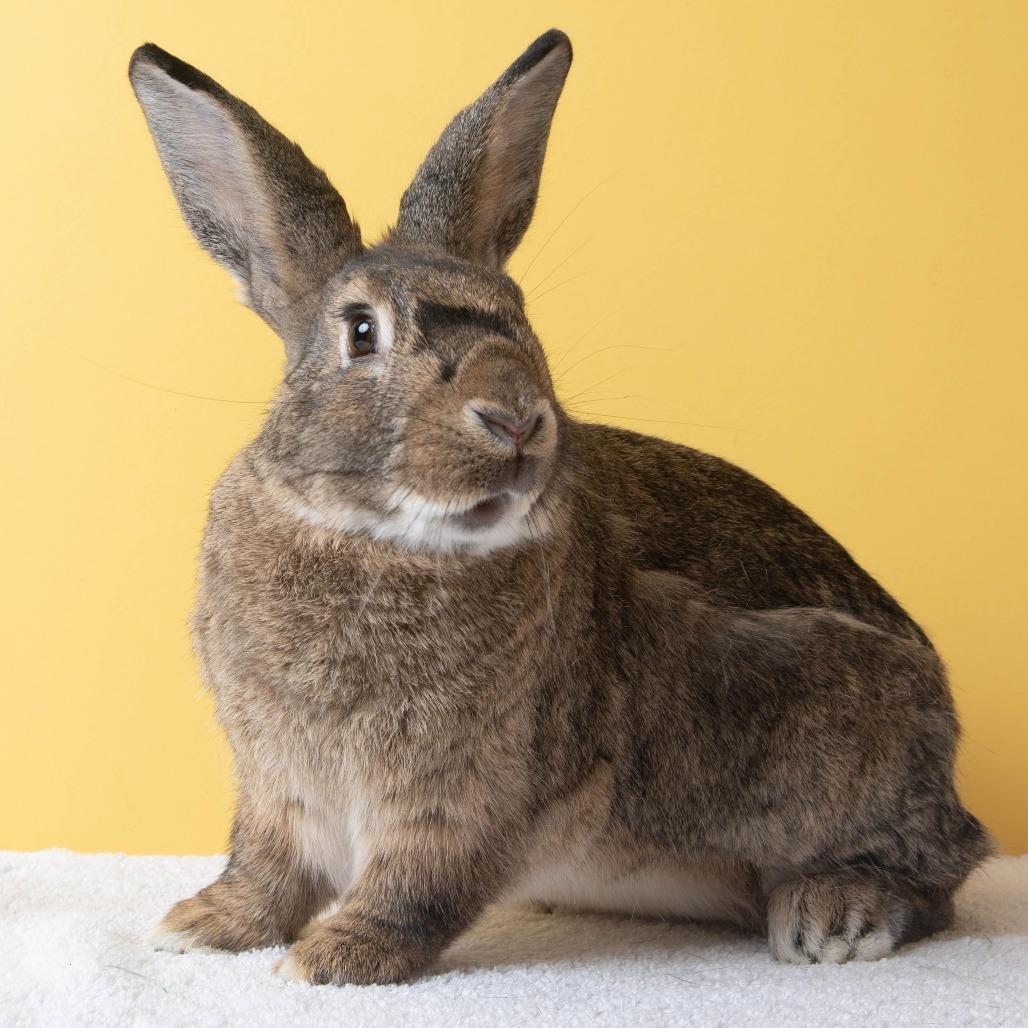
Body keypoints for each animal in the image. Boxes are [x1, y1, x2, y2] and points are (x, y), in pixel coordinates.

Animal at [128, 29, 991, 985]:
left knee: (943, 867)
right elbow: (266, 871)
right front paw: (200, 926)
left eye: (522, 321)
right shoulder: (279, 789)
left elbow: (414, 888)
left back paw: (835, 916)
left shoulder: (468, 795)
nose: (516, 416)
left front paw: (334, 959)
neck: (381, 536)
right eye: (360, 331)